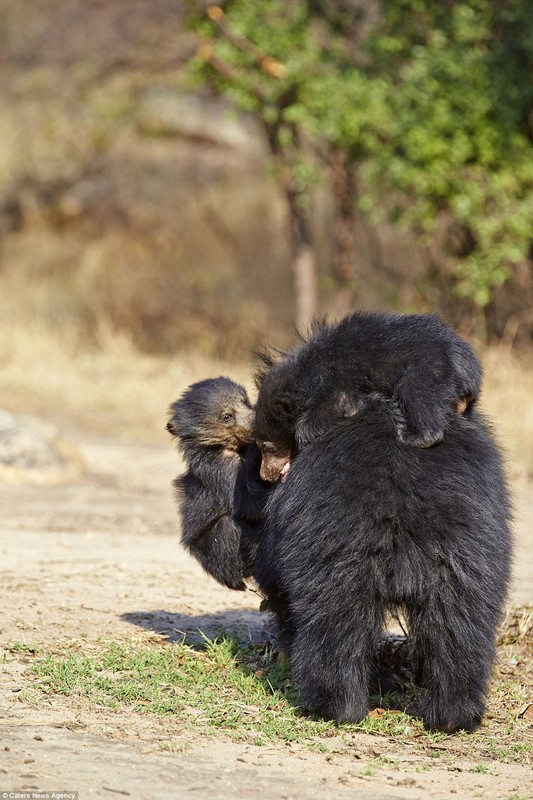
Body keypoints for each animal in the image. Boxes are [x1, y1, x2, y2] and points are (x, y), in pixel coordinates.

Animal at [252, 310, 478, 478]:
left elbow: (340, 406)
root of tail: (470, 368)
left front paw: (304, 437)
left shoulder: (335, 378)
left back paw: (412, 437)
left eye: (267, 447)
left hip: (429, 369)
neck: (302, 374)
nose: (265, 475)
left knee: (418, 396)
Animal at [254, 388, 512, 732]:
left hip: (337, 551)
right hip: (468, 558)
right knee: (460, 627)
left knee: (333, 625)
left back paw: (333, 707)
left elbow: (273, 574)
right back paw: (453, 717)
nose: (267, 473)